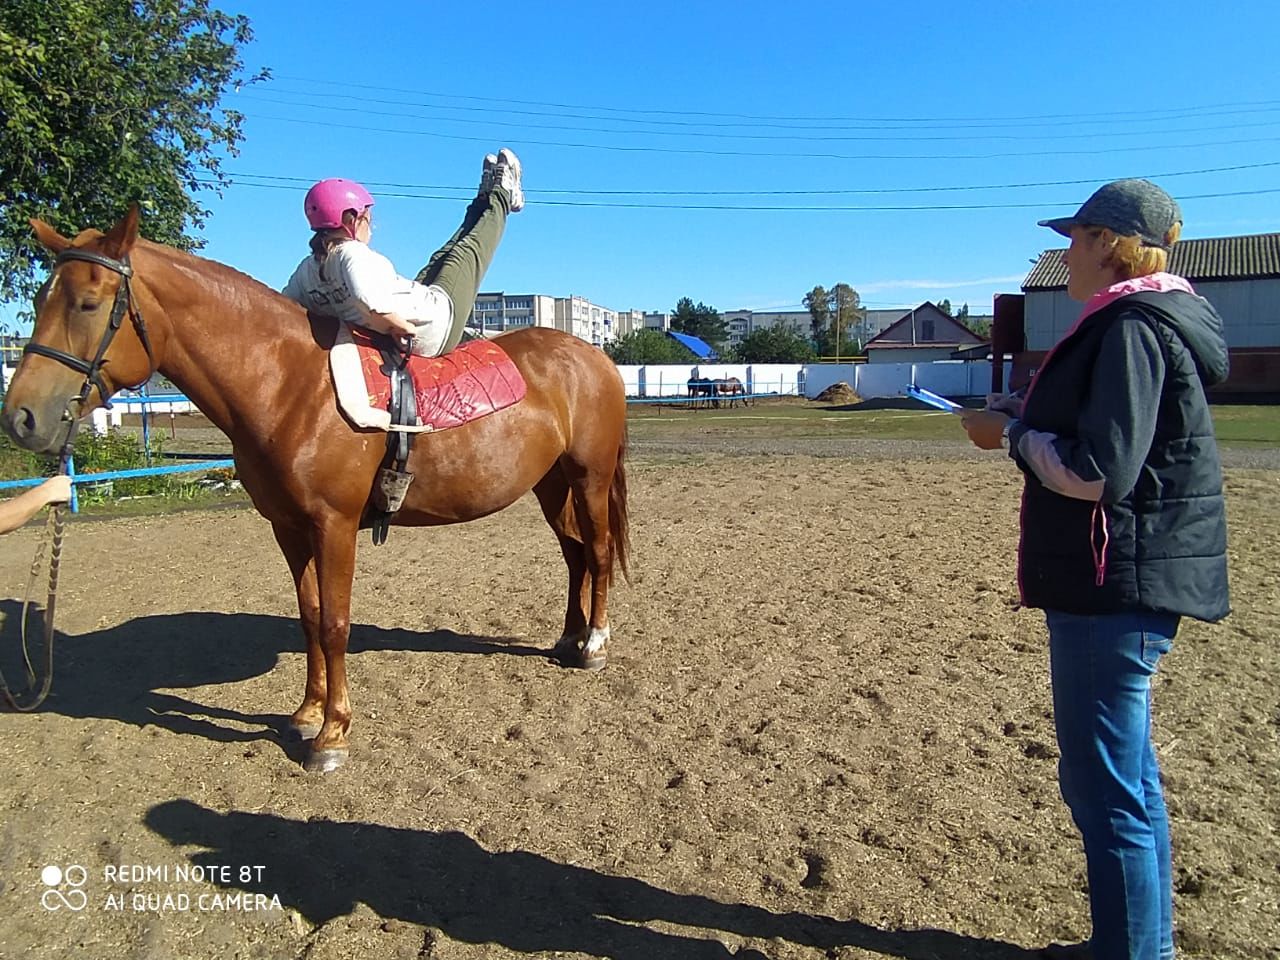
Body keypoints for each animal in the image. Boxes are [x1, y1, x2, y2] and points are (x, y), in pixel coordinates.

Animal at [0, 208, 629, 773]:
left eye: (87, 303)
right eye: (40, 301)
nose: (21, 418)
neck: (288, 383)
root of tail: (593, 356)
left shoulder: (335, 526)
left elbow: (335, 623)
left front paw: (332, 736)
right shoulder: (288, 527)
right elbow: (308, 616)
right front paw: (306, 714)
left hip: (589, 478)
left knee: (597, 551)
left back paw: (594, 645)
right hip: (551, 486)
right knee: (575, 555)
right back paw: (568, 638)